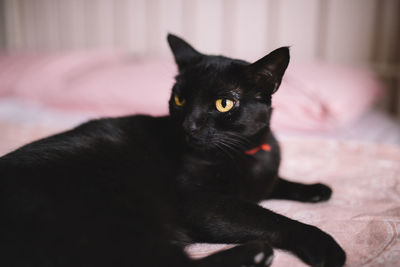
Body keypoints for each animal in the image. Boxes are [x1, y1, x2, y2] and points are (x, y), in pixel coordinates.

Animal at [0, 35, 346, 267]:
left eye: (224, 103)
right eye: (179, 99)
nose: (189, 124)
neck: (245, 154)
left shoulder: (261, 179)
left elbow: (276, 183)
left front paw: (315, 189)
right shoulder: (200, 201)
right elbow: (268, 217)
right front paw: (324, 245)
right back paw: (256, 253)